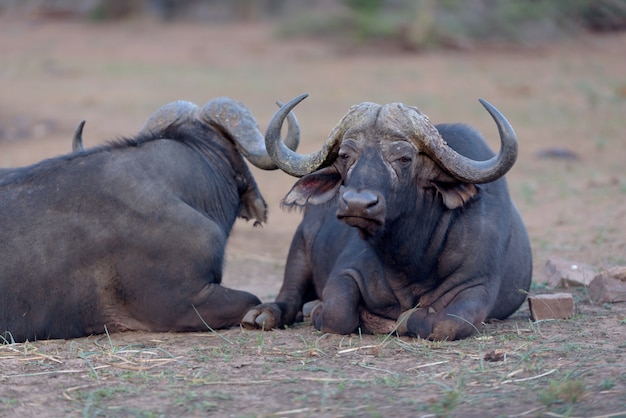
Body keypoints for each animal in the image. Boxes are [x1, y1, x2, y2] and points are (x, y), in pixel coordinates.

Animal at [244, 94, 532, 340]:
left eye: (404, 158)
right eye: (345, 155)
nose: (357, 204)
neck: (412, 261)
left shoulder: (477, 286)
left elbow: (446, 323)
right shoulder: (345, 271)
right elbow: (338, 312)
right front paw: (318, 309)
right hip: (299, 247)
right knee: (290, 295)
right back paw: (263, 314)